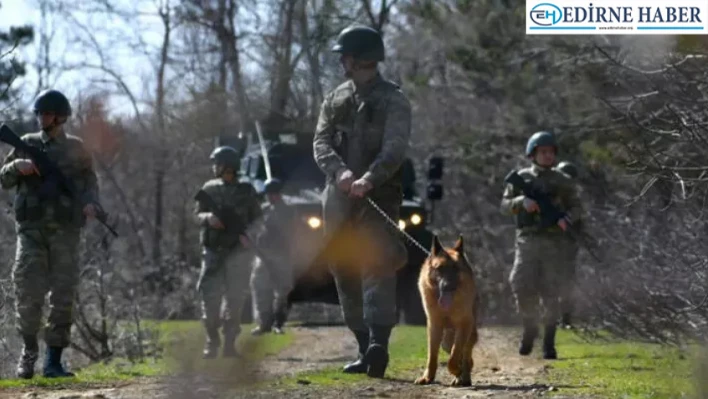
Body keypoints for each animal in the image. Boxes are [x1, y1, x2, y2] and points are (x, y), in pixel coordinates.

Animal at [412, 236, 478, 386]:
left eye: (455, 268)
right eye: (440, 268)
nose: (447, 286)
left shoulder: (464, 325)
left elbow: (454, 356)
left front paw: (457, 371)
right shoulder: (434, 326)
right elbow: (432, 355)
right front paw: (428, 377)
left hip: (469, 333)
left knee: (466, 356)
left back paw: (464, 377)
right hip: (446, 341)